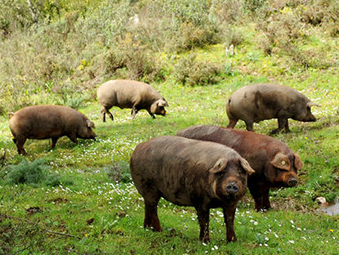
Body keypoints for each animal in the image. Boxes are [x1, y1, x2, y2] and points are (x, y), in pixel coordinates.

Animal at [178, 125, 306, 211]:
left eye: (295, 167)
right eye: (284, 166)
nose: (293, 180)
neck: (267, 161)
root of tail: (178, 133)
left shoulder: (265, 183)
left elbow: (266, 194)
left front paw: (269, 209)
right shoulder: (255, 180)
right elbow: (258, 195)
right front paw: (260, 210)